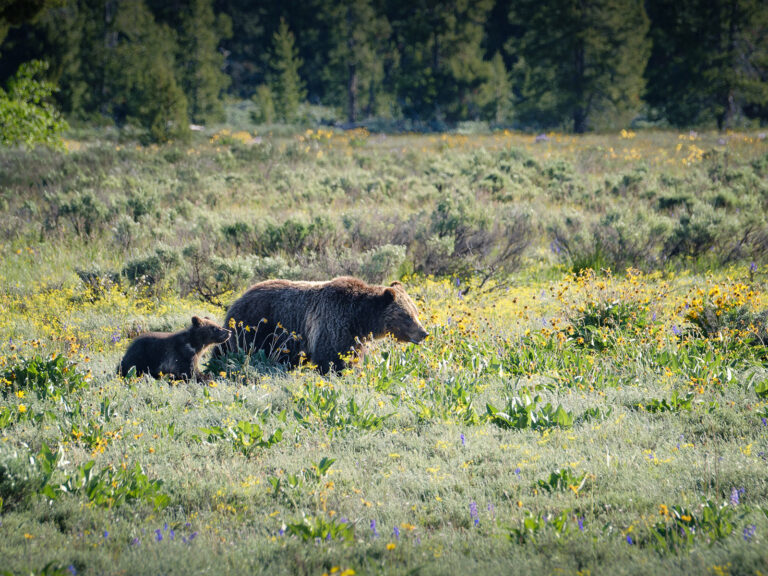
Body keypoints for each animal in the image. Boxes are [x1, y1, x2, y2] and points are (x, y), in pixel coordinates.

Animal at [217, 276, 428, 374]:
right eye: (407, 316)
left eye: (416, 312)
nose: (424, 333)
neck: (360, 318)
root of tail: (238, 298)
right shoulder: (333, 324)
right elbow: (331, 358)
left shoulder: (355, 337)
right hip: (256, 327)